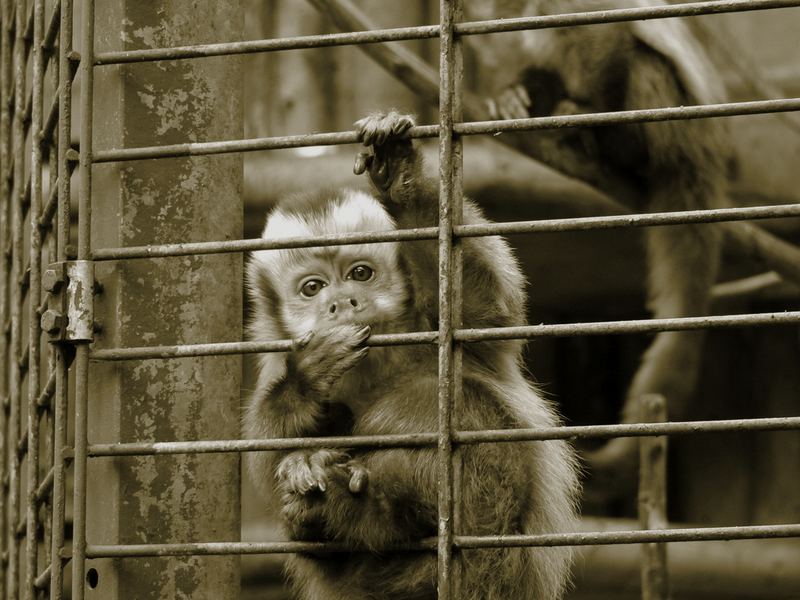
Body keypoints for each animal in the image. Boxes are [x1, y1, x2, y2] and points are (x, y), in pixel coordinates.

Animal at [247, 113, 580, 600]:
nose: (342, 302)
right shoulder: (275, 353)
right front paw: (308, 379)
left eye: (360, 273)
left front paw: (400, 177)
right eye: (313, 288)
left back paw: (364, 514)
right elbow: (266, 457)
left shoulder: (437, 322)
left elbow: (486, 312)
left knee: (454, 405)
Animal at [462, 0, 732, 478]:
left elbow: (606, 33)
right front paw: (511, 94)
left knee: (644, 64)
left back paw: (611, 143)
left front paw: (582, 109)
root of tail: (708, 153)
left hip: (681, 132)